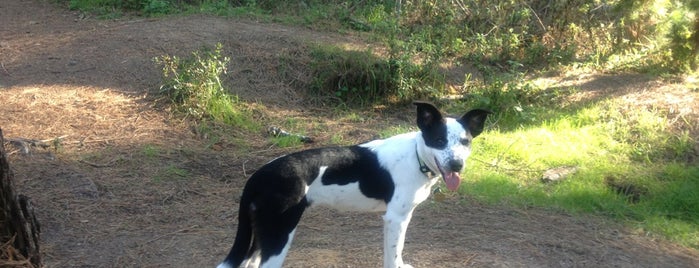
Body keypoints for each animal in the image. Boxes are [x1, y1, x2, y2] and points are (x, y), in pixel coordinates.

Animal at [216, 101, 490, 268]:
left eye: (465, 142)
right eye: (439, 140)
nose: (456, 165)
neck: (416, 156)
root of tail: (258, 175)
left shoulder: (395, 220)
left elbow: (393, 254)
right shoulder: (396, 218)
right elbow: (394, 254)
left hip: (261, 235)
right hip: (279, 234)